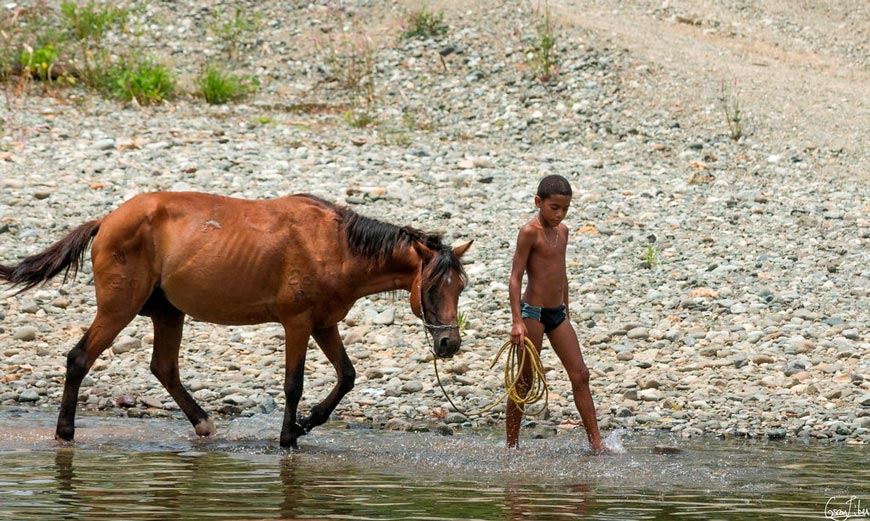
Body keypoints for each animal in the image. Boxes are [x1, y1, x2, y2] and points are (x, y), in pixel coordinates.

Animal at [0, 191, 474, 446]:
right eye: (434, 288)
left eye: (461, 287)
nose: (449, 344)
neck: (335, 244)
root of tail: (108, 220)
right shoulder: (298, 322)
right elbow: (293, 384)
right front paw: (289, 436)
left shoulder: (324, 323)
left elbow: (347, 377)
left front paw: (307, 423)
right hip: (119, 308)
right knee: (79, 359)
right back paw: (65, 432)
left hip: (168, 313)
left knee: (164, 368)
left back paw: (203, 423)